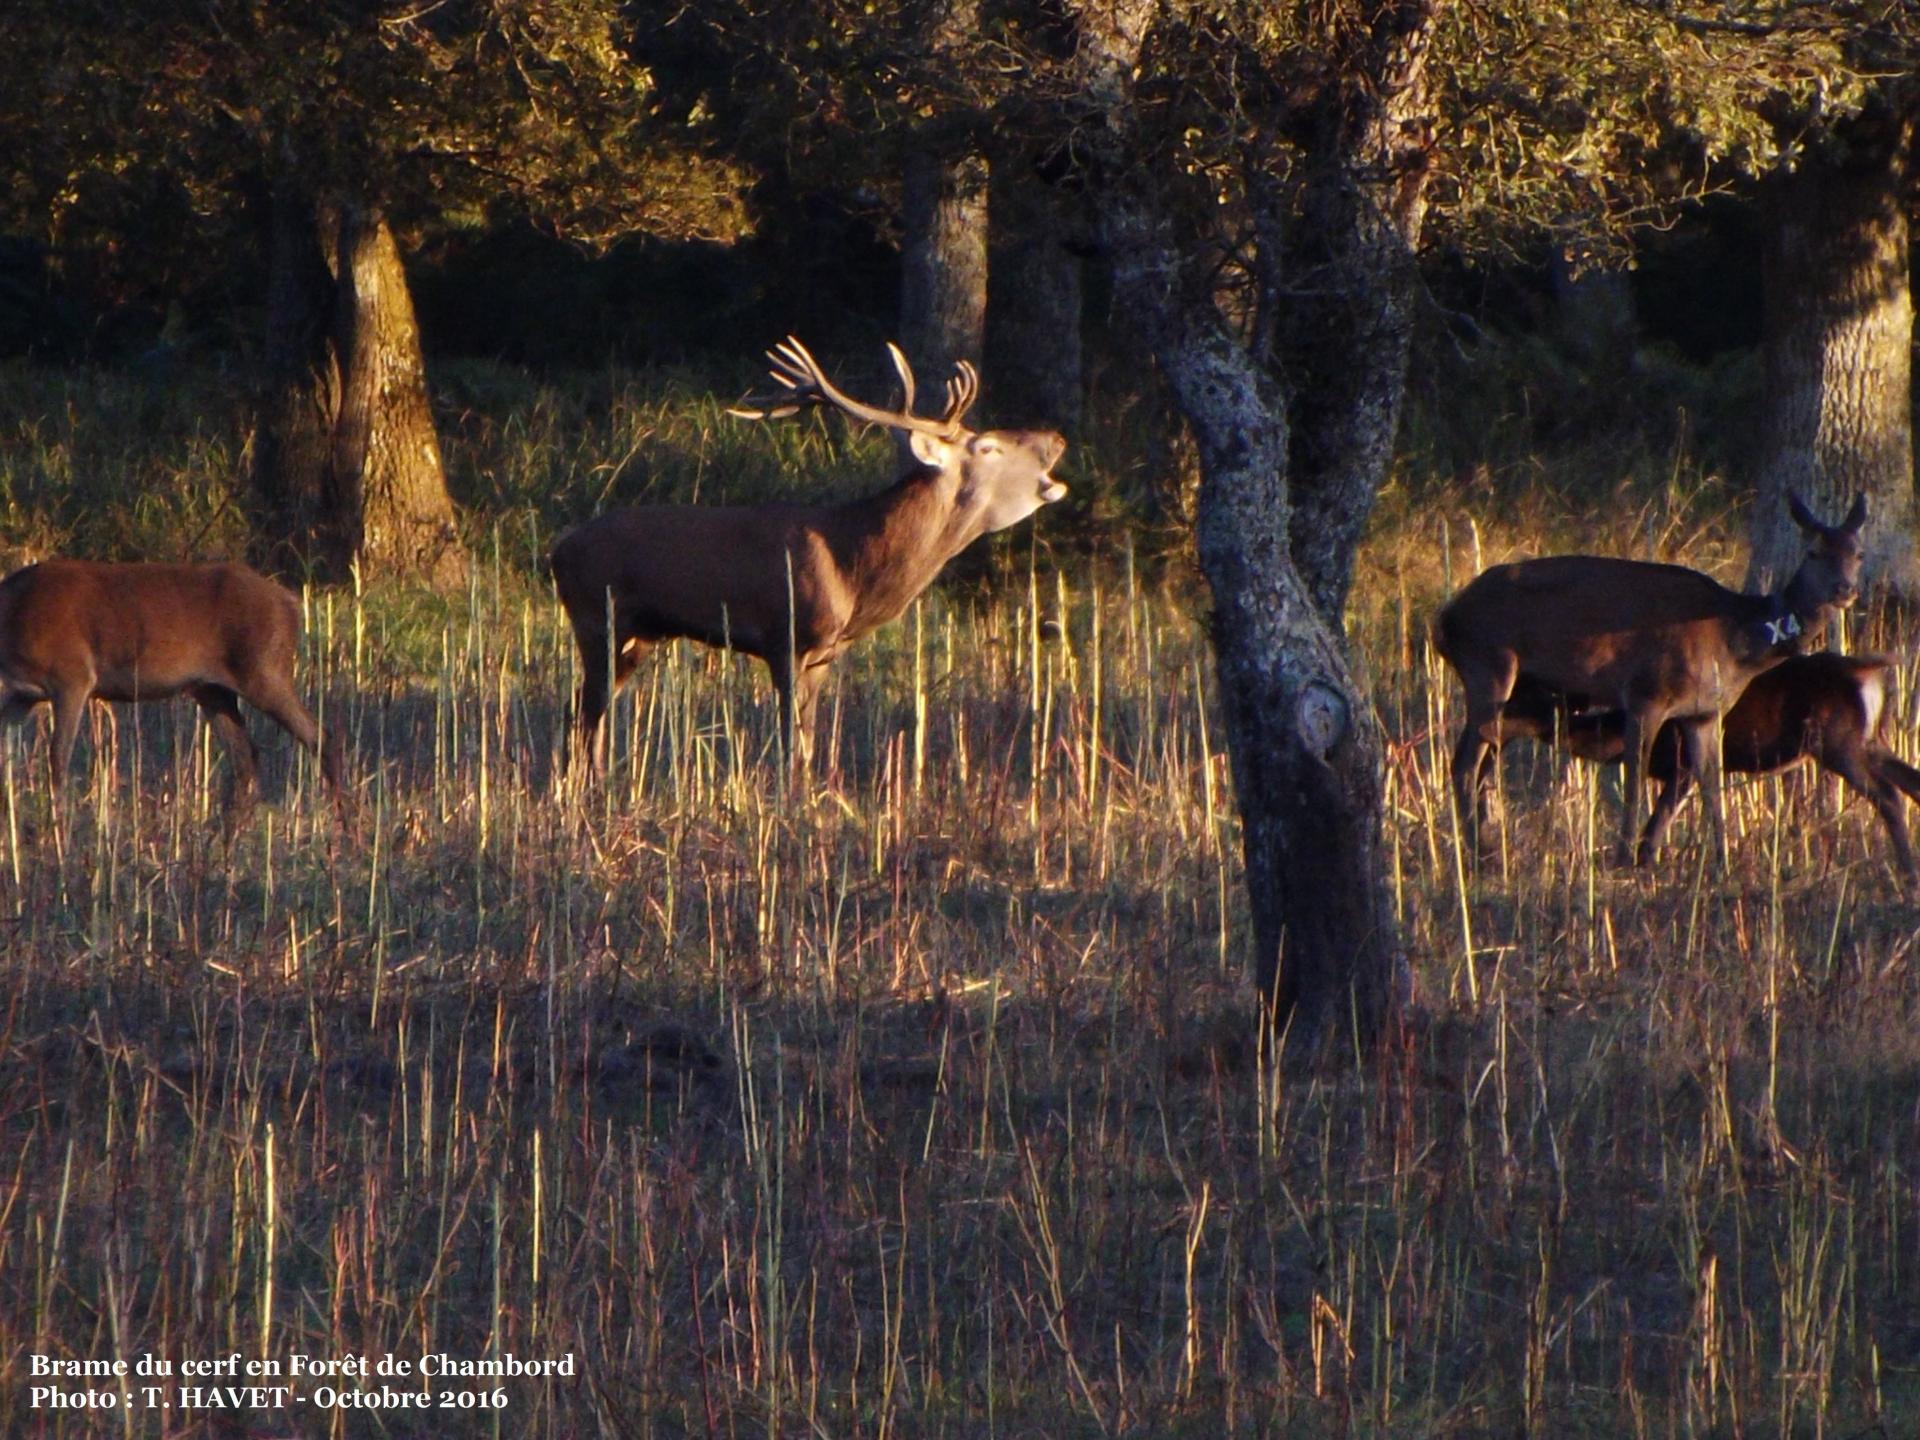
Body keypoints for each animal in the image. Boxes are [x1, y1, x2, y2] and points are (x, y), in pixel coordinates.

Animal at [0, 556, 341, 817]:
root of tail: (292, 605)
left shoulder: (72, 676)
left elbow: (57, 759)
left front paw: (60, 838)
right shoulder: (17, 699)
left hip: (265, 671)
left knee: (322, 738)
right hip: (212, 690)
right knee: (247, 758)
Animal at [549, 336, 1075, 779]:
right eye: (988, 446)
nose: (1056, 438)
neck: (853, 567)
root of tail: (556, 551)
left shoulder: (824, 654)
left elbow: (810, 738)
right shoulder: (786, 635)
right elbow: (791, 741)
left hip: (636, 637)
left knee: (586, 711)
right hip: (598, 618)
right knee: (583, 713)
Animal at [1443, 495, 1858, 864]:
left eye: (1857, 553)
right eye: (1813, 552)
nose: (1845, 589)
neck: (1735, 642)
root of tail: (1444, 618)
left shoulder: (1704, 712)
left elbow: (1711, 783)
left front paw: (1722, 860)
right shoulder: (1647, 693)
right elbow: (1635, 778)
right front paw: (1624, 857)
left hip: (1523, 689)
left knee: (1482, 757)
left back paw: (1486, 844)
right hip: (1490, 664)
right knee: (1465, 762)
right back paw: (1480, 854)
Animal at [1474, 652, 1912, 879]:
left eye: (1527, 700)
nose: (1486, 725)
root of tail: (1870, 673)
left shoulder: (1680, 760)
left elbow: (1659, 819)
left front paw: (1638, 864)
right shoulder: (1677, 767)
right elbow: (1659, 822)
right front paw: (1644, 864)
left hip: (1837, 741)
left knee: (1889, 795)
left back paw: (1906, 867)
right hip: (1870, 741)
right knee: (1910, 781)